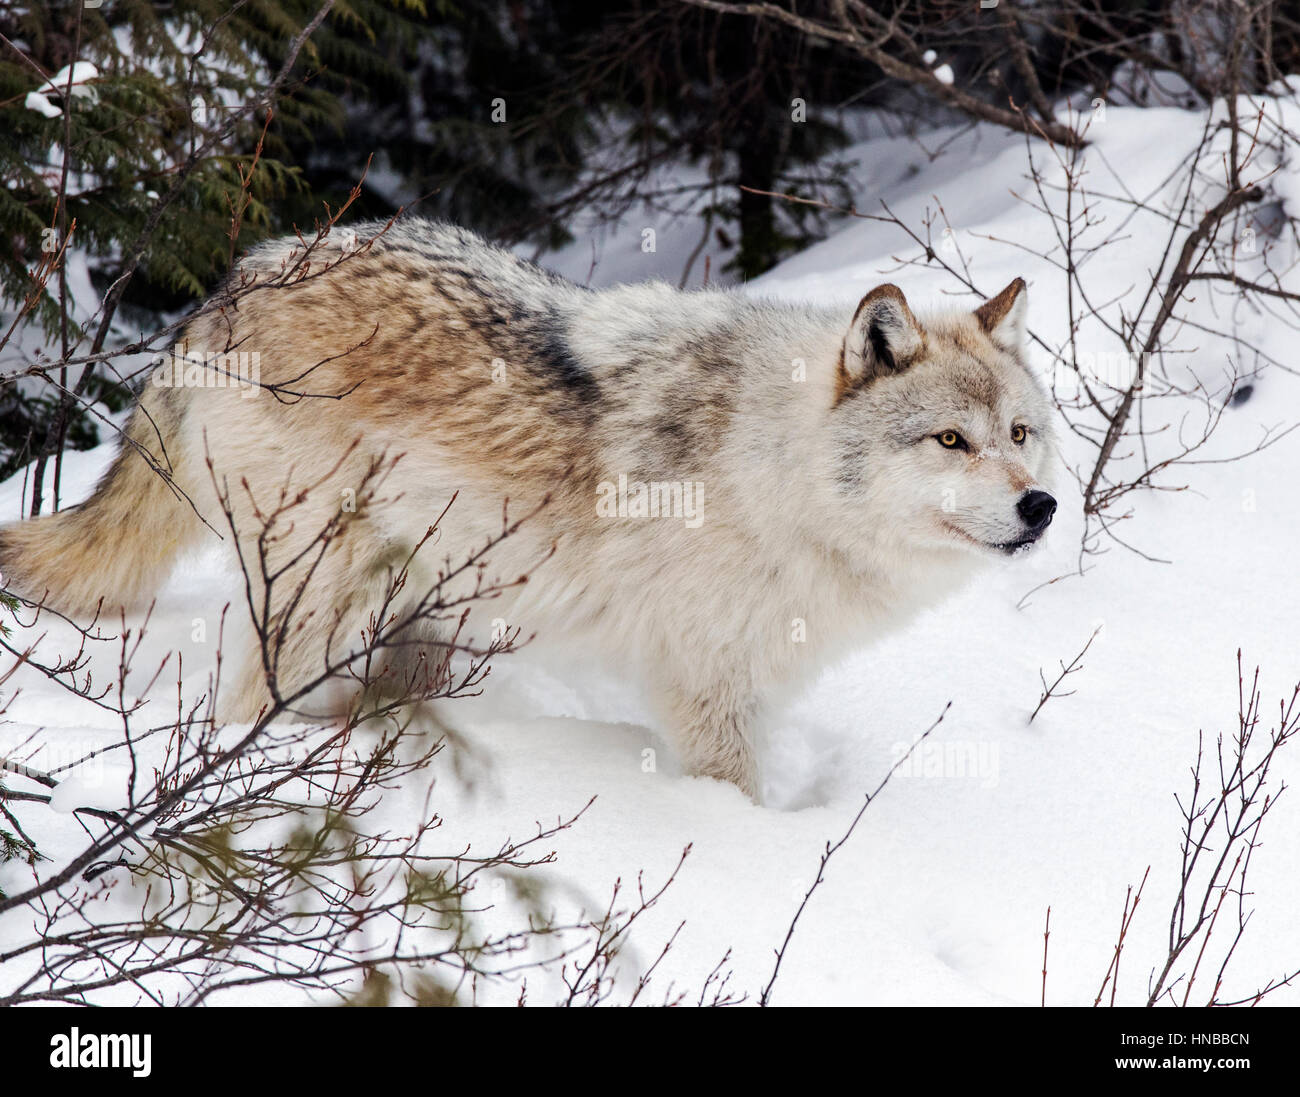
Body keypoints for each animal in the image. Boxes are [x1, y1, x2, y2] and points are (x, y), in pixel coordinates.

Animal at [0, 220, 1056, 799]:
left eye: (1019, 433)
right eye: (950, 441)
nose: (1042, 506)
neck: (771, 464)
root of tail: (239, 279)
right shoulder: (704, 684)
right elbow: (734, 795)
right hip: (319, 598)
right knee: (244, 709)